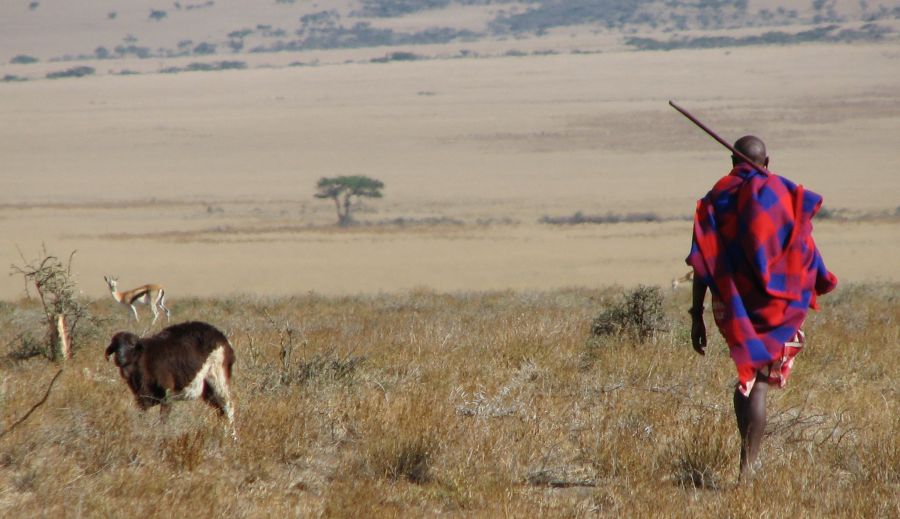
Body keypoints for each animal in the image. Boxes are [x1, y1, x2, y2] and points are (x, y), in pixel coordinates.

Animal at [105, 322, 236, 436]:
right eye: (115, 346)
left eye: (132, 344)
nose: (120, 358)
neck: (143, 361)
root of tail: (224, 339)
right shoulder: (142, 399)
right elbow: (142, 418)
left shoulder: (167, 397)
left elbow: (163, 420)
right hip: (208, 389)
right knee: (220, 410)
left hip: (218, 377)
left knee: (228, 407)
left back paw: (230, 436)